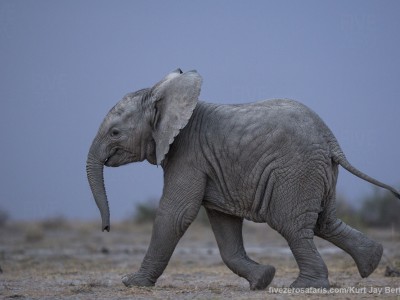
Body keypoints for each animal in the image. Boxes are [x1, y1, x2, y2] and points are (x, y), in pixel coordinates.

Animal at [86, 69, 398, 290]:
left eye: (115, 133)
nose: (105, 228)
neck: (167, 97)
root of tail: (330, 139)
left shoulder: (188, 155)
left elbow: (176, 214)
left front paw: (132, 283)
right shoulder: (212, 167)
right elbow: (224, 224)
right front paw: (263, 279)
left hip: (295, 171)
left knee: (291, 224)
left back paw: (305, 286)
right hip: (320, 171)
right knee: (325, 221)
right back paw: (372, 262)